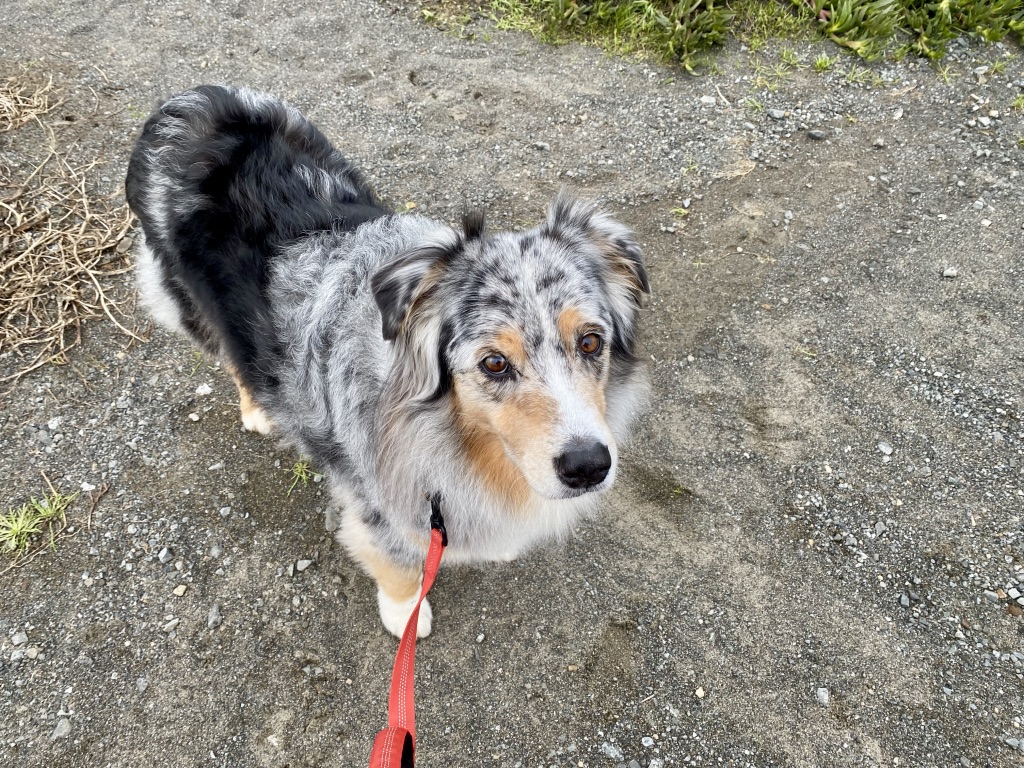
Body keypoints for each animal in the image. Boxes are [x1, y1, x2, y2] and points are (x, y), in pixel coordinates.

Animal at [125, 85, 649, 638]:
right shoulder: (379, 505)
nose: (588, 466)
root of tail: (192, 100)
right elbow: (397, 565)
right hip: (190, 304)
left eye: (591, 343)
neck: (460, 439)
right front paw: (405, 615)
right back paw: (257, 410)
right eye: (493, 364)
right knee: (232, 355)